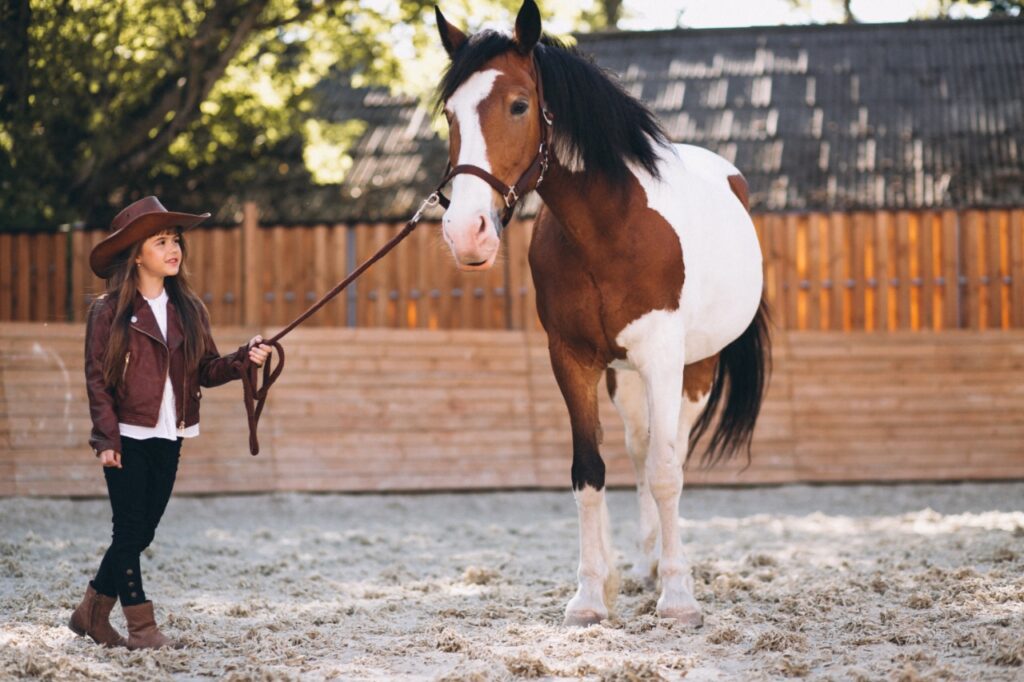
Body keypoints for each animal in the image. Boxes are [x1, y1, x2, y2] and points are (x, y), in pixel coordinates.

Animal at [432, 0, 771, 627]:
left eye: (518, 105)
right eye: (449, 113)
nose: (467, 232)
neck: (609, 228)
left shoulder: (663, 357)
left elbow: (666, 471)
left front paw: (679, 598)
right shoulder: (572, 360)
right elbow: (590, 472)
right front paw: (592, 594)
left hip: (694, 369)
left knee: (670, 451)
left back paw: (665, 570)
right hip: (625, 378)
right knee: (639, 449)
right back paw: (644, 566)